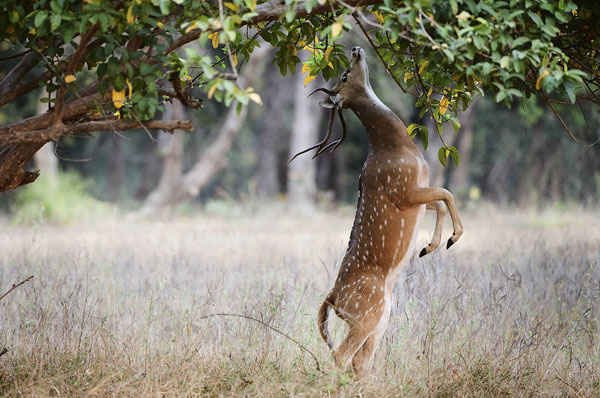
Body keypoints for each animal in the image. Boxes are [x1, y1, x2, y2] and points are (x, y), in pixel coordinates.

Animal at [290, 47, 464, 380]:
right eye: (344, 75)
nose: (356, 50)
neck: (397, 148)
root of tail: (333, 298)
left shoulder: (417, 191)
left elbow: (439, 200)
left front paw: (429, 246)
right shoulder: (402, 188)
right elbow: (447, 192)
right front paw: (451, 239)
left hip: (380, 319)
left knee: (360, 362)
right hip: (366, 314)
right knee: (341, 356)